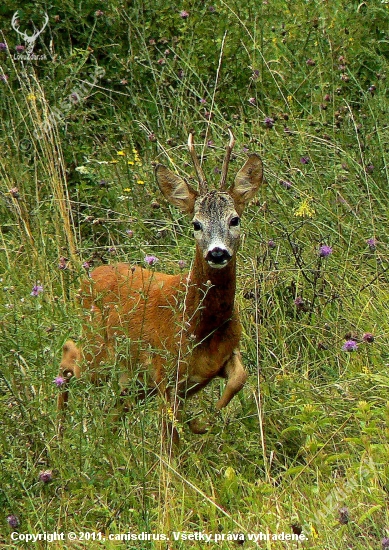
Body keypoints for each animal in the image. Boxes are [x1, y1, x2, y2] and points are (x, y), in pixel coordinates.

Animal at [57, 132, 262, 446]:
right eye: (196, 224)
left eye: (234, 219)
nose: (217, 253)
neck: (199, 325)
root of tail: (87, 279)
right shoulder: (165, 371)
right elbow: (170, 438)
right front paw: (189, 435)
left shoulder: (223, 356)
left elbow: (240, 377)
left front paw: (202, 421)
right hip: (98, 352)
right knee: (68, 354)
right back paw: (58, 435)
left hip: (130, 380)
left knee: (113, 408)